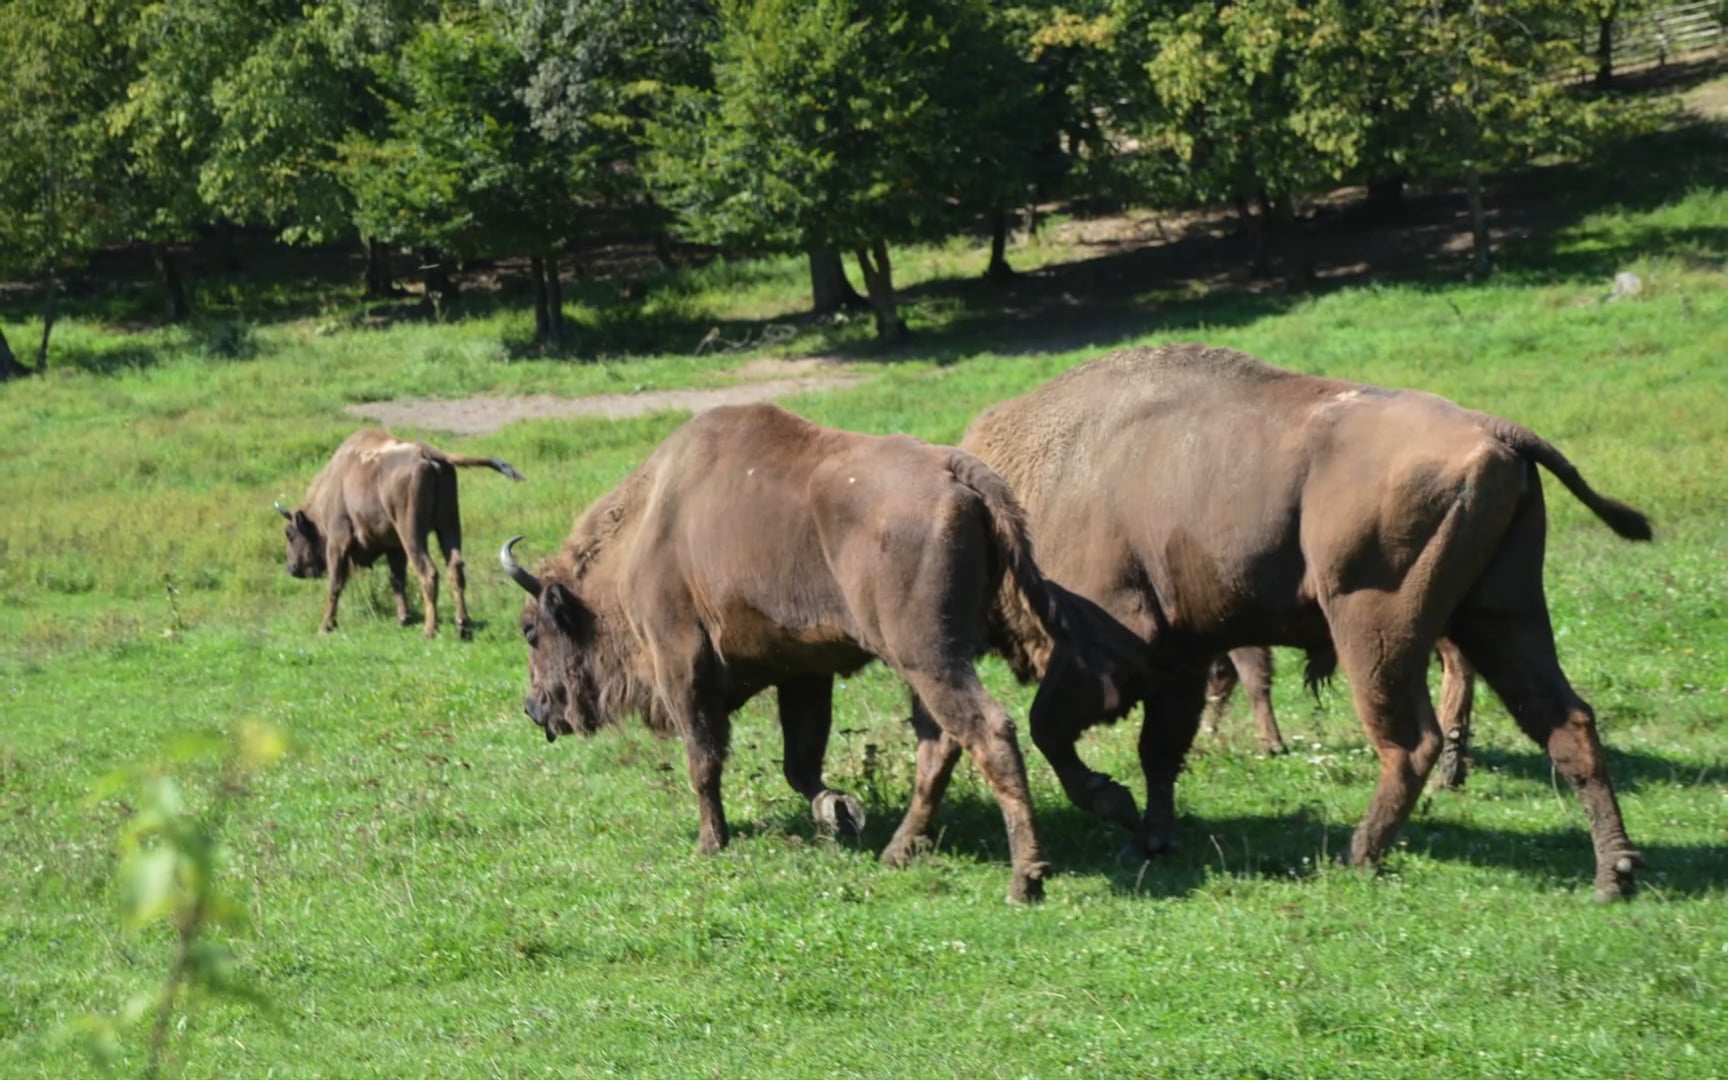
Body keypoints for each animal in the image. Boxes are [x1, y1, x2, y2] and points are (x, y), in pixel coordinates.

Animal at [271, 426, 518, 635]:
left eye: (290, 534)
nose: (291, 568)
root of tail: (431, 454)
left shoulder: (338, 542)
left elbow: (335, 584)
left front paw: (325, 626)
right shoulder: (394, 546)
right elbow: (397, 579)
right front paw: (404, 618)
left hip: (412, 533)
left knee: (428, 572)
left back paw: (430, 630)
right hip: (448, 525)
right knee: (455, 568)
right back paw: (462, 624)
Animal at [501, 400, 1119, 898]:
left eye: (531, 630)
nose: (534, 708)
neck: (646, 529)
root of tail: (955, 469)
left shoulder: (682, 665)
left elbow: (704, 759)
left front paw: (710, 842)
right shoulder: (802, 673)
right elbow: (800, 761)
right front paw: (840, 812)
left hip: (928, 656)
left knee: (985, 732)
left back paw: (1025, 879)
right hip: (927, 662)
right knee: (939, 742)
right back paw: (899, 851)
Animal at [967, 345, 1651, 898]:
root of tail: (1494, 430)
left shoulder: (1106, 651)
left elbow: (1053, 729)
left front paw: (1117, 806)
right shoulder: (1181, 659)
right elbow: (1159, 749)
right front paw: (1153, 838)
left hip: (1374, 631)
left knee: (1410, 741)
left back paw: (1359, 853)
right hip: (1504, 615)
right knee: (1566, 720)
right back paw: (1614, 874)